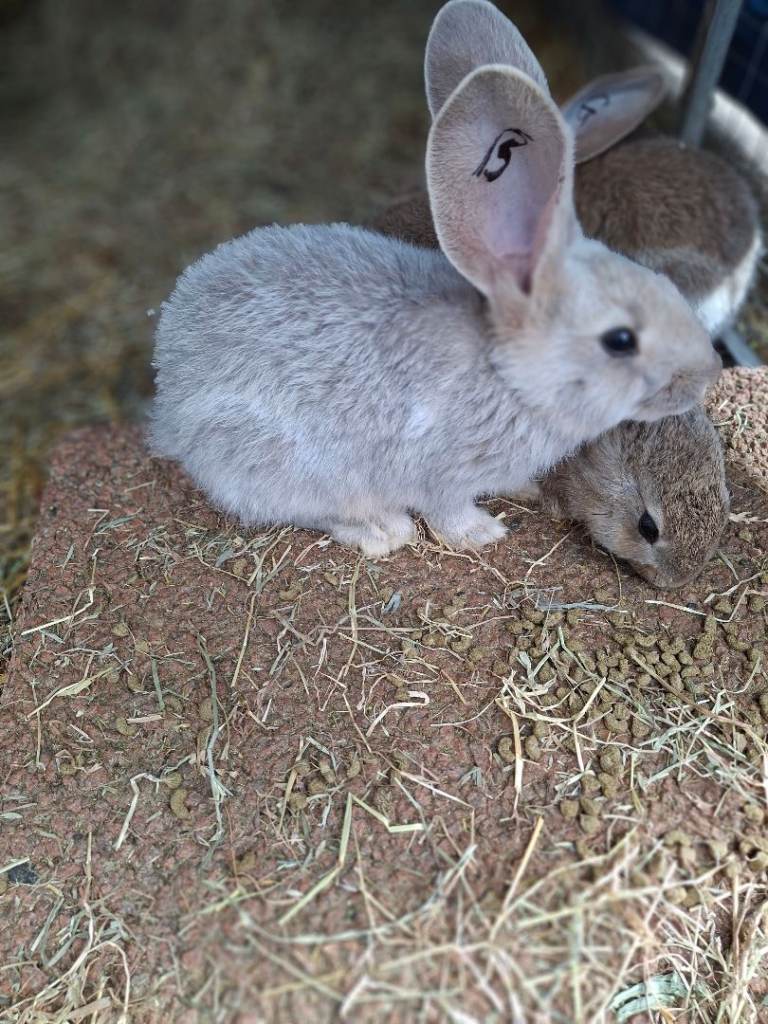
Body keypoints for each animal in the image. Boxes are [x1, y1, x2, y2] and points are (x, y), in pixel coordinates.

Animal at [151, 15, 719, 560]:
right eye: (620, 340)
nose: (707, 372)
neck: (511, 374)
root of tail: (170, 395)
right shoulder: (442, 472)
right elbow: (447, 510)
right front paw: (484, 534)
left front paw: (525, 491)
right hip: (295, 468)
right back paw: (383, 531)